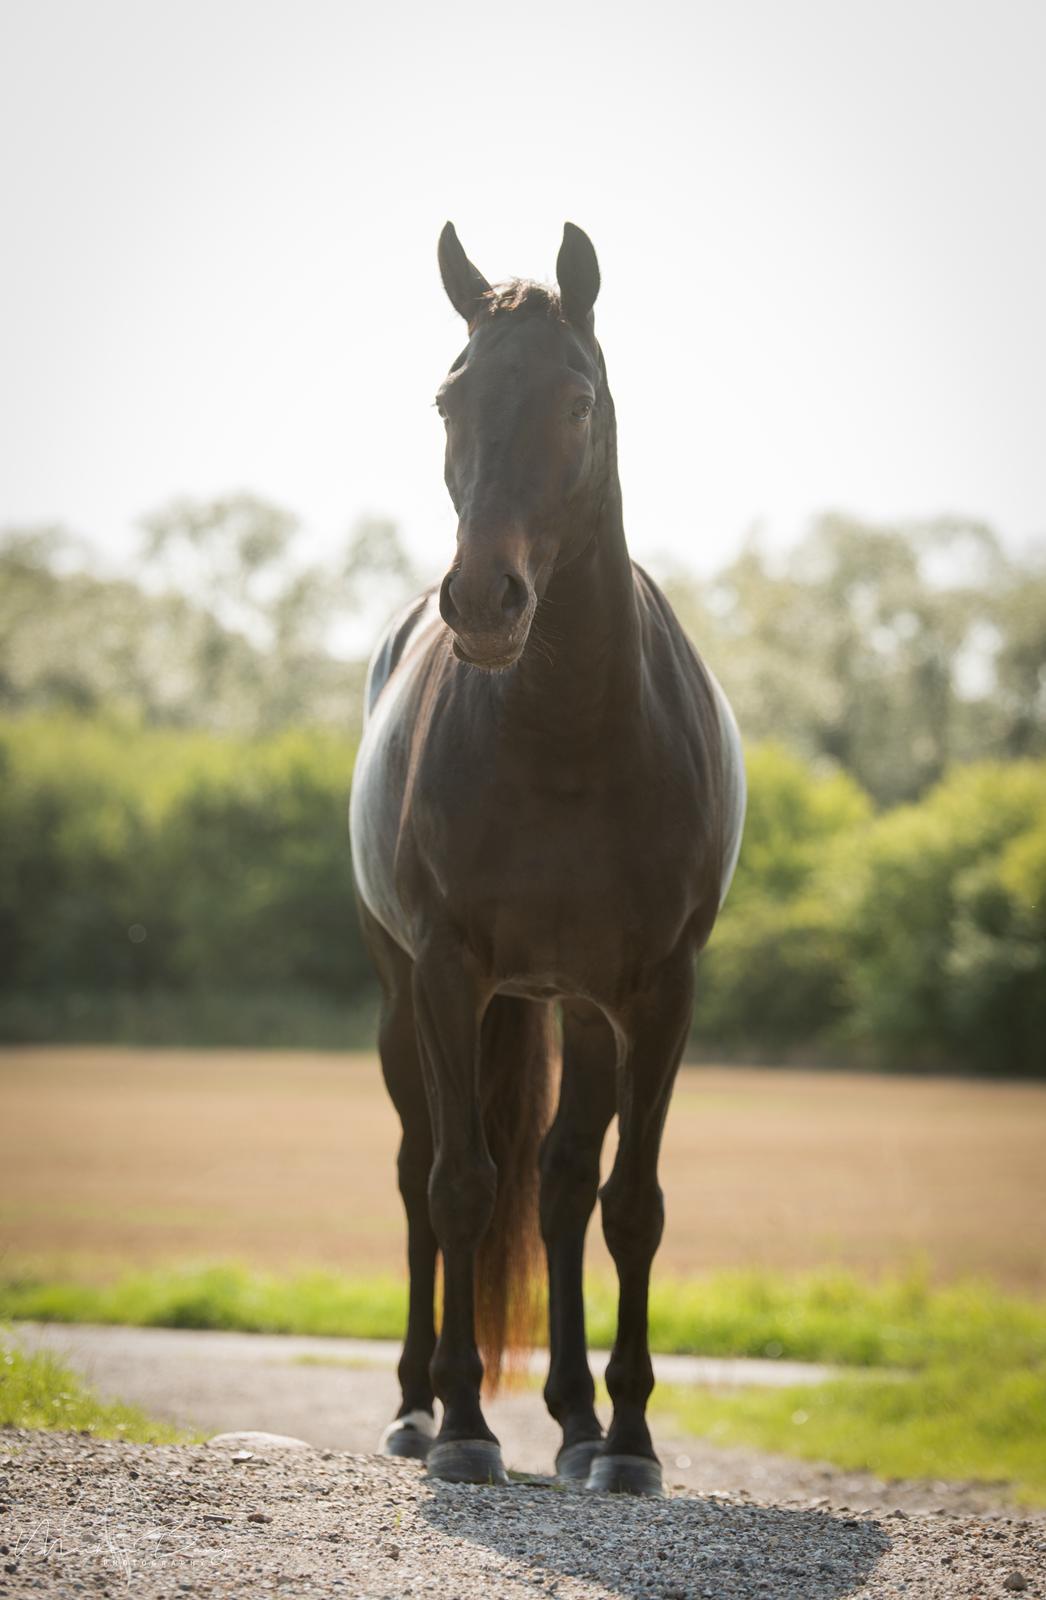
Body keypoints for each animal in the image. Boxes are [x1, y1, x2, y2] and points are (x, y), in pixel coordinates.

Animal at [351, 222, 745, 1484]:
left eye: (576, 400)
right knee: (418, 1174)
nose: (483, 599)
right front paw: (466, 1427)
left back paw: (573, 1420)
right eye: (448, 398)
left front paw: (627, 1442)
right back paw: (416, 1405)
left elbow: (628, 1203)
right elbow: (462, 1185)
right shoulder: (444, 972)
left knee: (567, 1182)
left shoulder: (657, 991)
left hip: (578, 1005)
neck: (570, 729)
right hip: (405, 998)